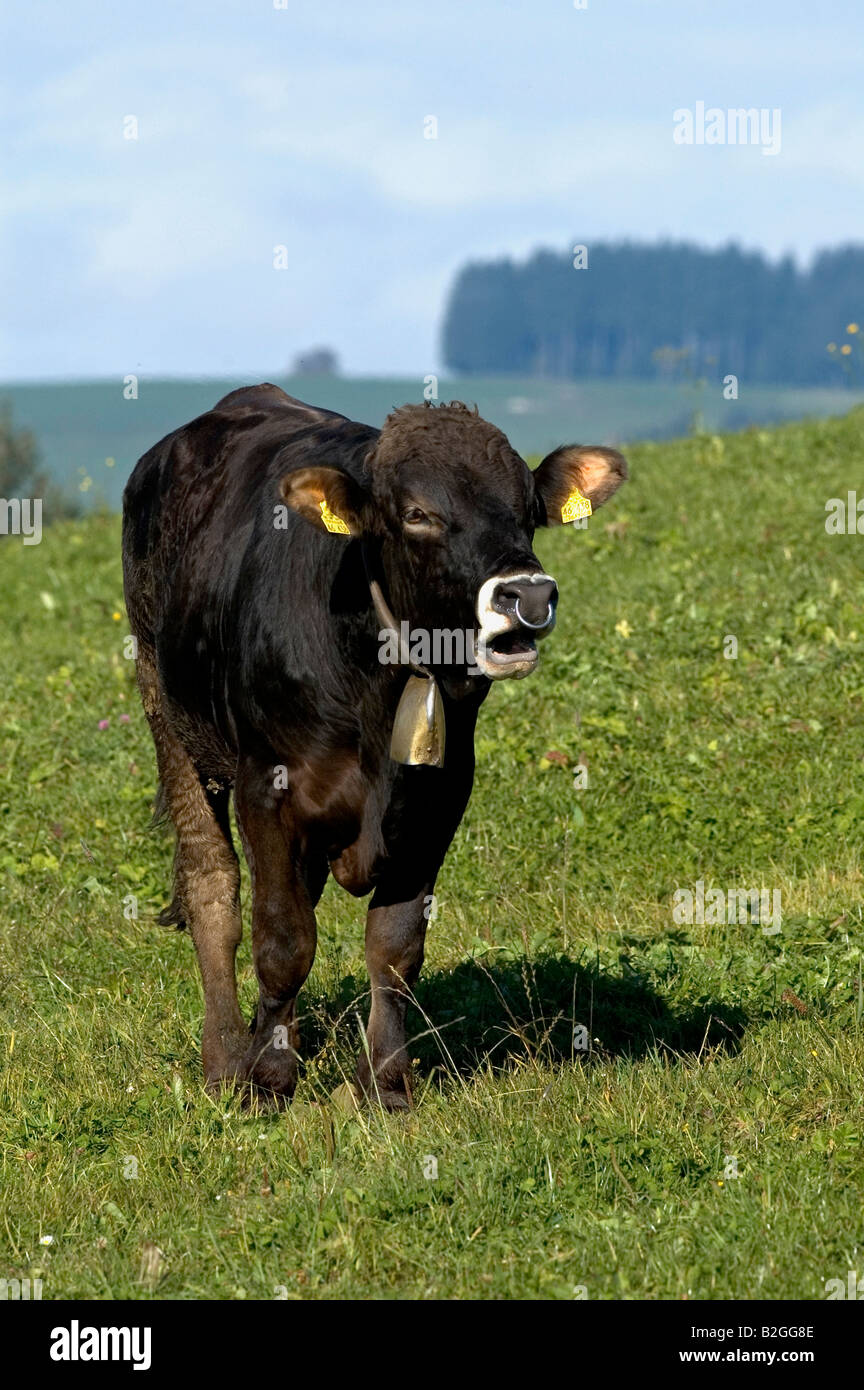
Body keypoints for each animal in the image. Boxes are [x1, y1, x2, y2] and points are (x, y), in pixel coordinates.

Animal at [122, 389, 625, 1106]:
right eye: (417, 514)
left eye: (529, 510)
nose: (527, 594)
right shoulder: (265, 784)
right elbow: (282, 939)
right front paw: (268, 1077)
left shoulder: (441, 794)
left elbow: (394, 946)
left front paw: (384, 1082)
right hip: (167, 711)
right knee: (212, 887)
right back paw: (225, 1060)